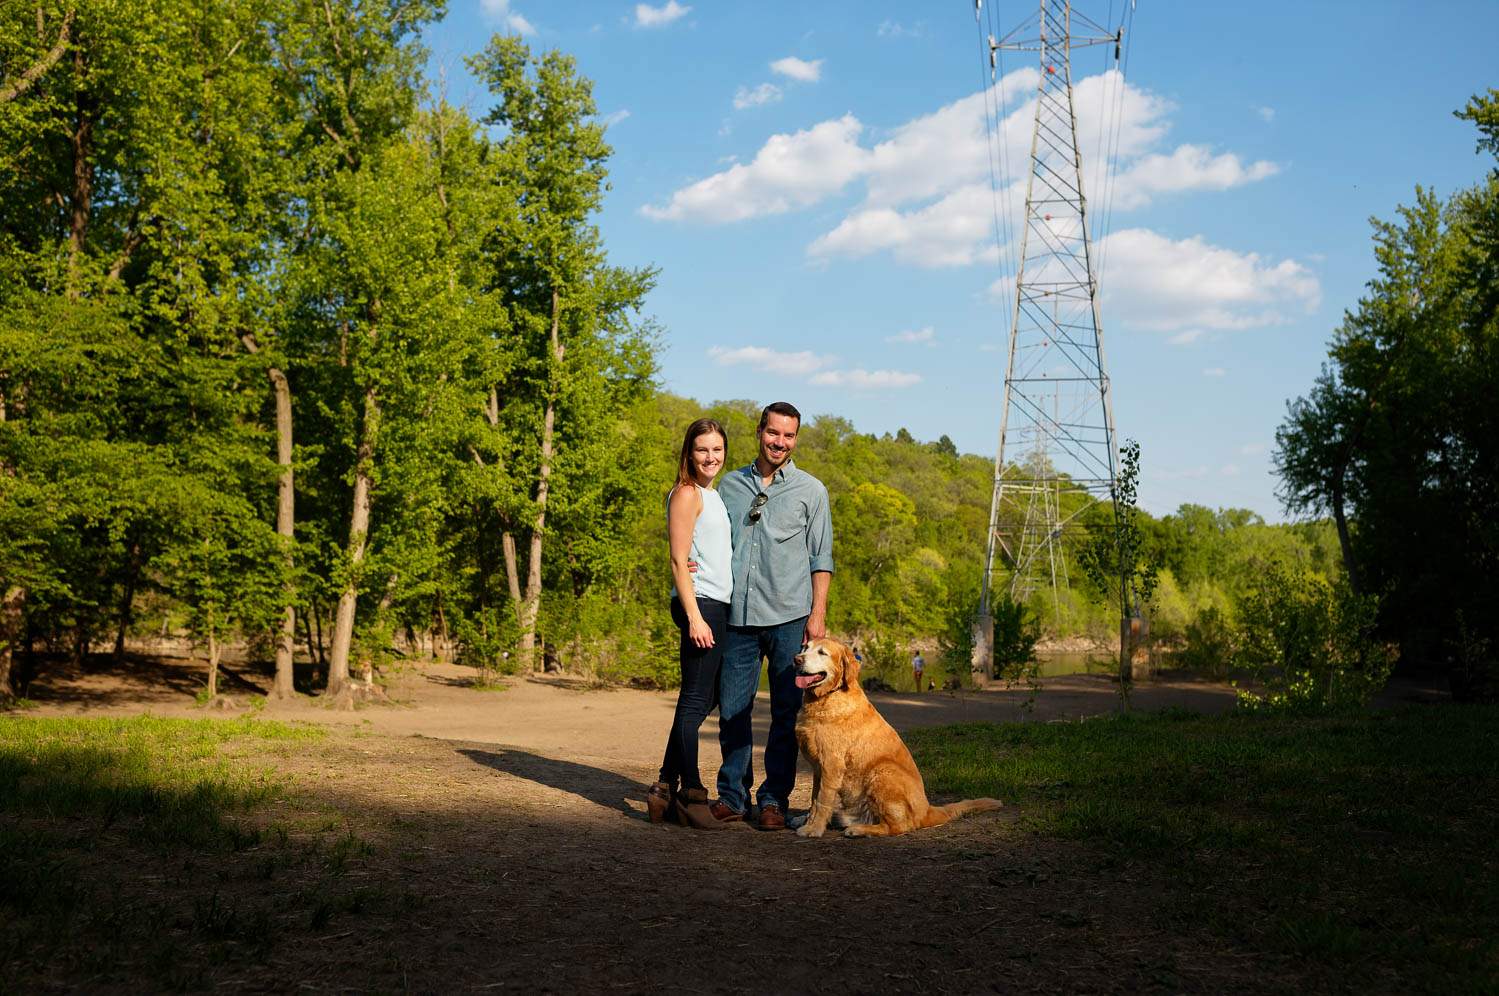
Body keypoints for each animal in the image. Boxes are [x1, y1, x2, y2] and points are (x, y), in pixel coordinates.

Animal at [791, 633, 1001, 834]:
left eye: (822, 653)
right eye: (804, 647)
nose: (797, 659)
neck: (824, 699)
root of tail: (928, 810)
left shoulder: (831, 764)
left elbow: (822, 801)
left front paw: (814, 829)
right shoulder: (818, 769)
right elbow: (814, 800)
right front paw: (808, 822)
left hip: (882, 771)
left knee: (899, 826)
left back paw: (860, 830)